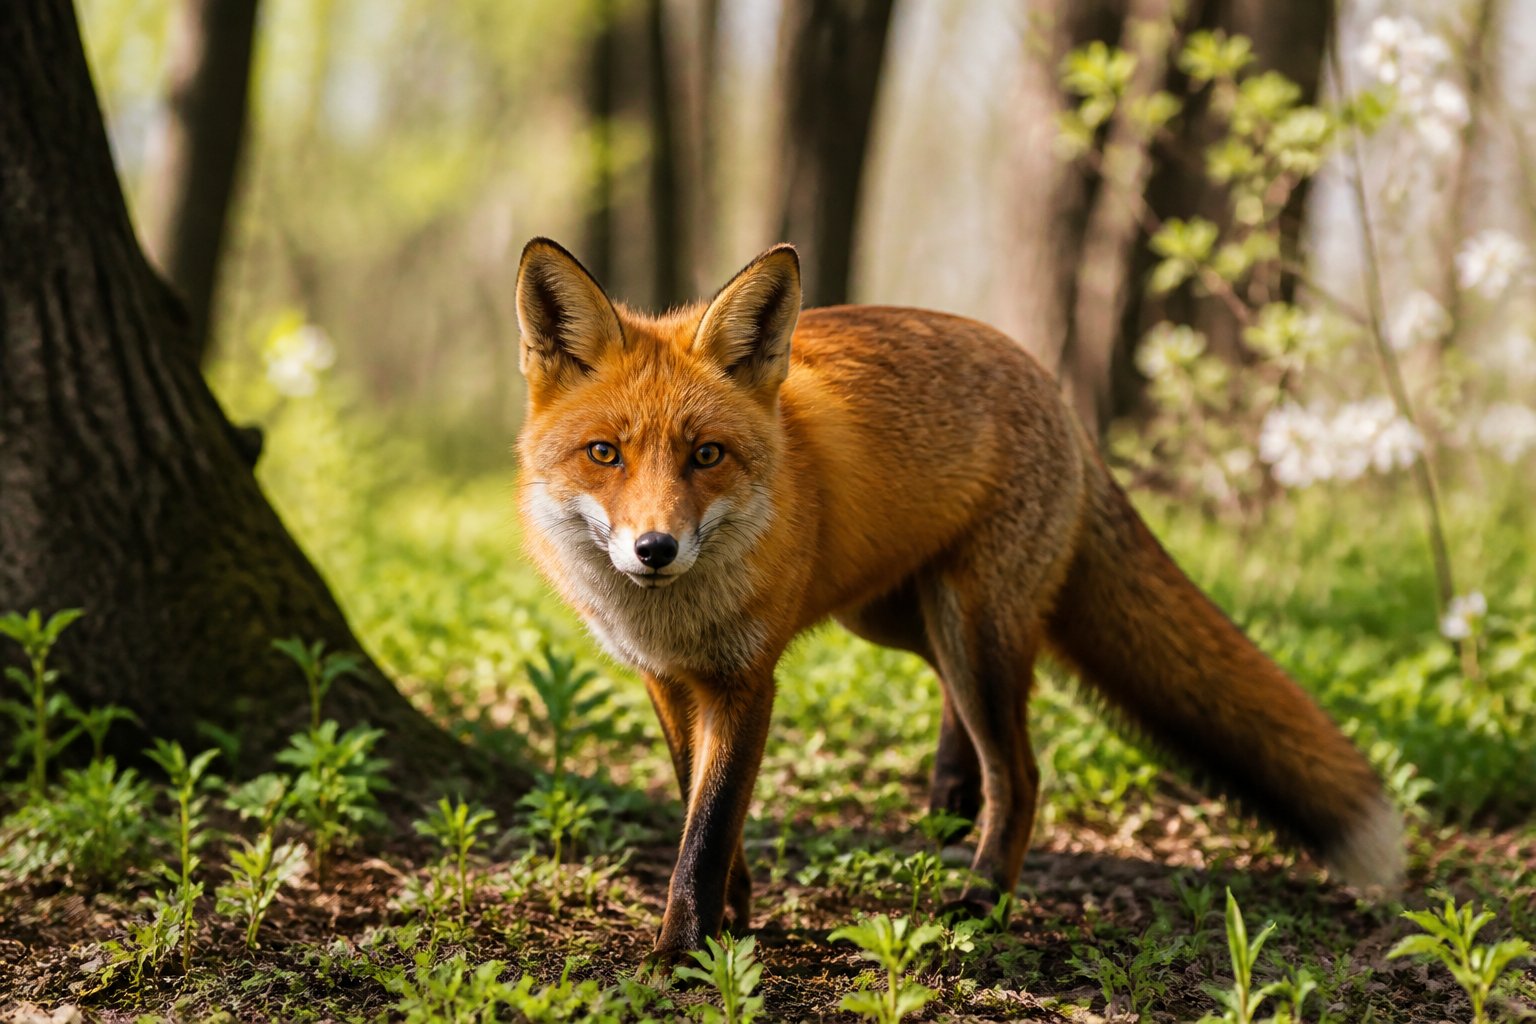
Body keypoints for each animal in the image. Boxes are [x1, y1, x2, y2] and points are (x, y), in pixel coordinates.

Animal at [512, 236, 1404, 964]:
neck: (676, 616)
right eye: (605, 453)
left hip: (973, 629)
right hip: (896, 615)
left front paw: (683, 952)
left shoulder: (745, 680)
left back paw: (981, 894)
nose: (654, 550)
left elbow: (707, 824)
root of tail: (1049, 385)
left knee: (1023, 770)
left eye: (707, 455)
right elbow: (698, 803)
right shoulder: (667, 679)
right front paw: (732, 913)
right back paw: (951, 795)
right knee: (968, 704)